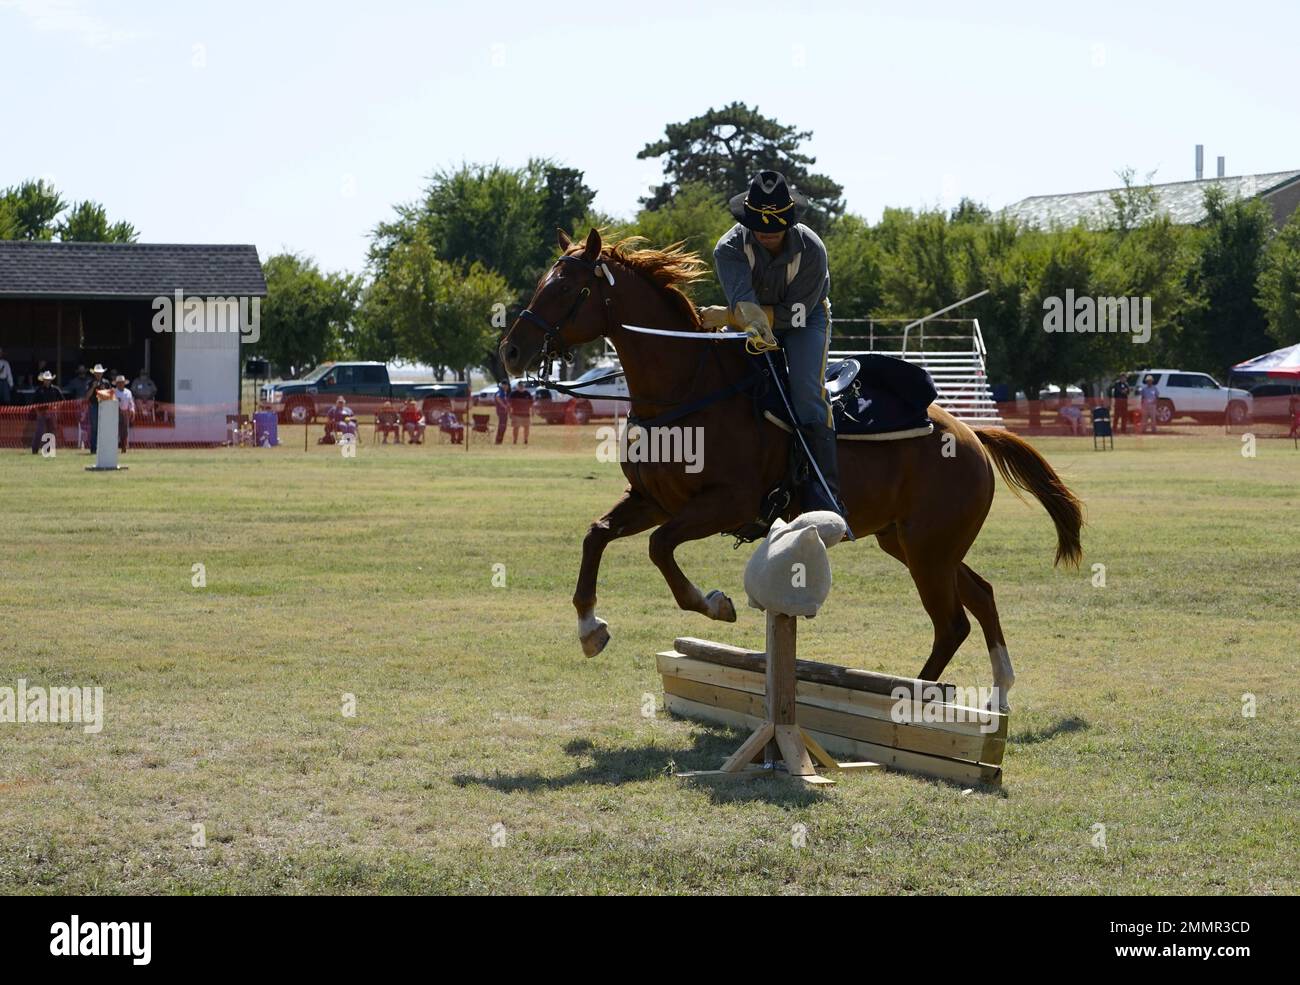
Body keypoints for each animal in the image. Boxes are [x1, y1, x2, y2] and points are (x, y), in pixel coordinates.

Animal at [501, 231, 1081, 712]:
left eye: (564, 288)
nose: (510, 350)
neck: (688, 389)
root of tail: (972, 435)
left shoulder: (723, 504)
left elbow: (660, 548)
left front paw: (714, 604)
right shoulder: (653, 500)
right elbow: (596, 535)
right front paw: (589, 628)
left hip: (929, 549)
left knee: (952, 621)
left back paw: (913, 696)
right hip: (913, 543)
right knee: (979, 597)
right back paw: (997, 691)